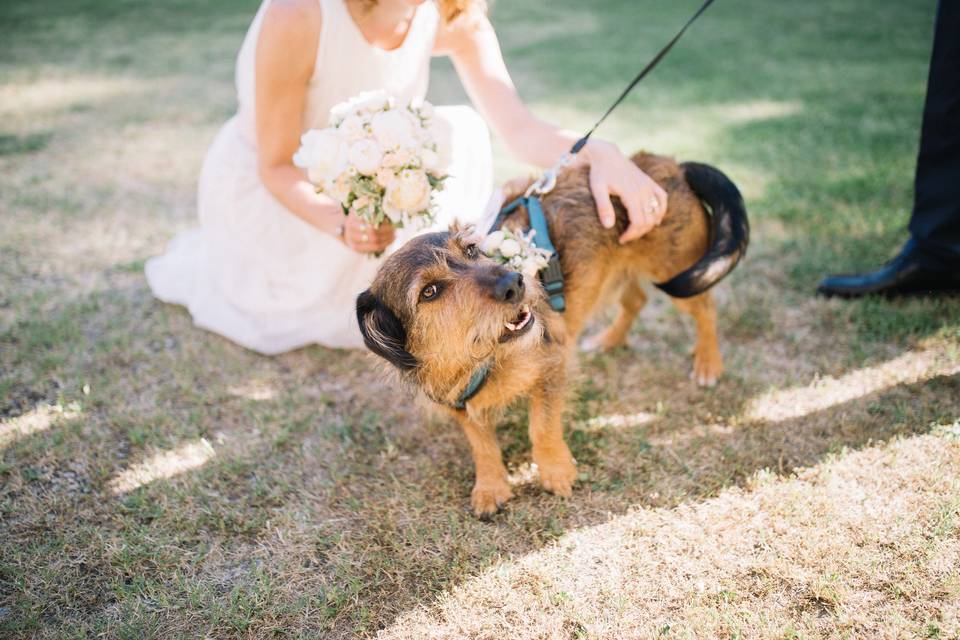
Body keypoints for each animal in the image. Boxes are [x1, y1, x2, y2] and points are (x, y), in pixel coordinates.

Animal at [356, 152, 748, 516]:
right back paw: (608, 341)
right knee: (635, 300)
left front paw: (555, 470)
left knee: (705, 308)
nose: (515, 282)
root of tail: (672, 165)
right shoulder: (459, 405)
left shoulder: (552, 364)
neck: (482, 358)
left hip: (676, 271)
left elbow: (541, 426)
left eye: (470, 249)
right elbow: (482, 445)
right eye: (429, 292)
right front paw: (490, 486)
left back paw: (708, 363)